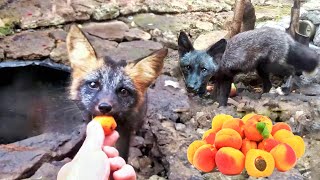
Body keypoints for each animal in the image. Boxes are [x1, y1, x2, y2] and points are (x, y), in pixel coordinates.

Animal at [179, 26, 318, 105]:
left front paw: (221, 108)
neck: (220, 61)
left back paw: (285, 90)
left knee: (292, 70)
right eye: (187, 67)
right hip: (261, 69)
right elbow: (215, 93)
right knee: (268, 85)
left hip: (273, 66)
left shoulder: (226, 77)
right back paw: (261, 97)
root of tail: (285, 35)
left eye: (203, 69)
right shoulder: (218, 78)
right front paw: (212, 102)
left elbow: (223, 96)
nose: (190, 87)